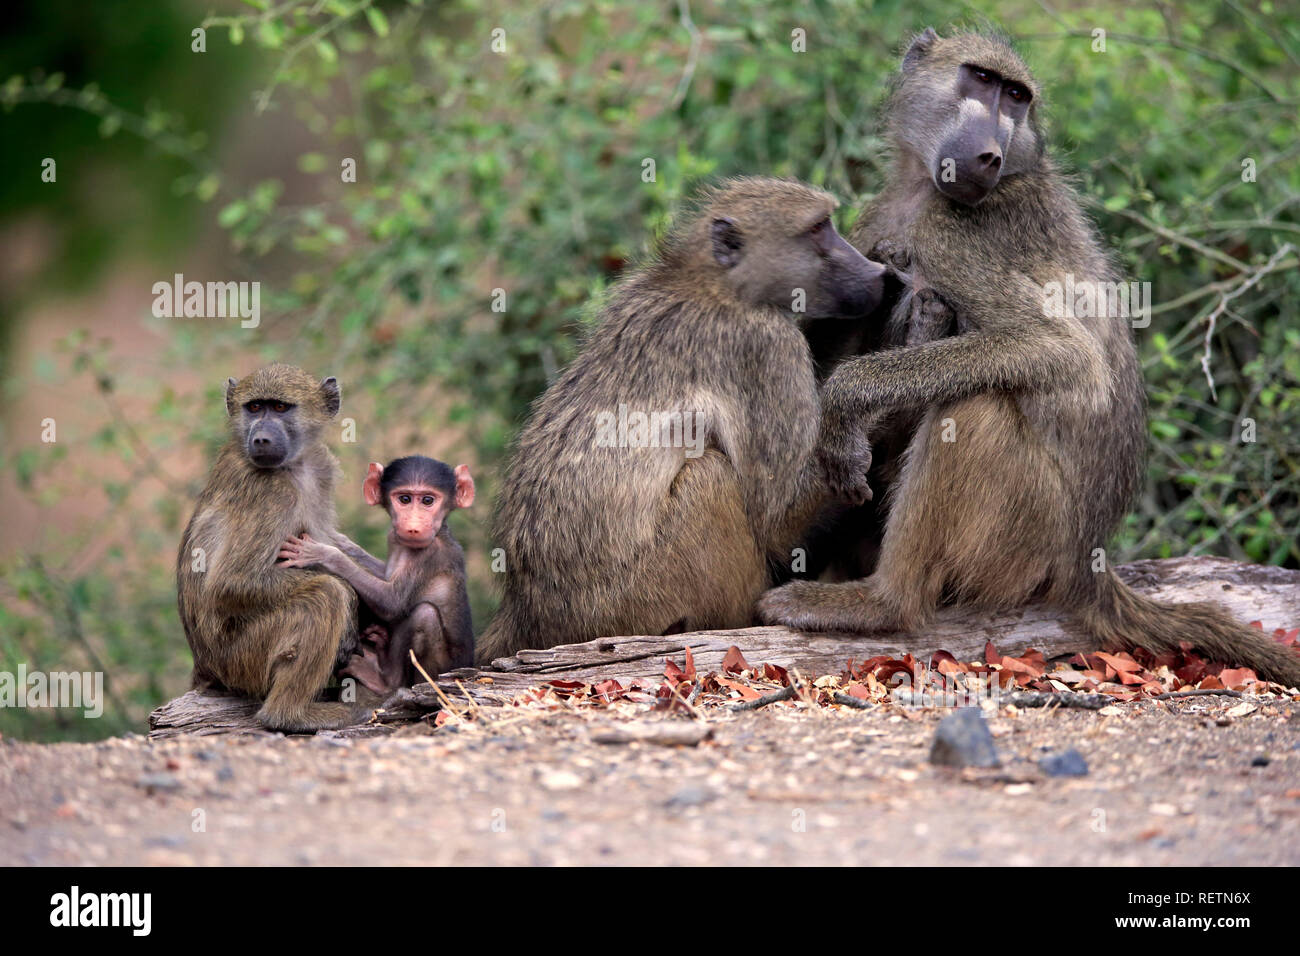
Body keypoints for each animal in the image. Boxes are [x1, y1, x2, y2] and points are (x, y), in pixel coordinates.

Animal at [176, 364, 376, 732]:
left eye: (280, 407)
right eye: (254, 408)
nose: (261, 439)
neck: (294, 464)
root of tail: (205, 669)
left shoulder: (321, 471)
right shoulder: (272, 493)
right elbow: (232, 583)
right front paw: (351, 599)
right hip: (242, 659)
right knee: (324, 595)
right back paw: (290, 715)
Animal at [278, 455, 475, 693]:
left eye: (428, 501)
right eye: (405, 499)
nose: (414, 525)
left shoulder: (431, 554)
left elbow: (391, 603)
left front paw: (322, 553)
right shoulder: (393, 537)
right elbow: (383, 575)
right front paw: (343, 544)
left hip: (441, 671)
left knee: (424, 614)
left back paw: (386, 681)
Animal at [477, 177, 887, 662]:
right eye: (819, 228)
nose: (875, 273)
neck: (716, 284)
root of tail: (527, 613)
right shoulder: (763, 345)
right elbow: (777, 521)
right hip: (635, 601)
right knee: (710, 476)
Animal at [759, 28, 1300, 687]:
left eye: (1017, 98)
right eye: (982, 80)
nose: (989, 156)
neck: (921, 189)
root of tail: (1087, 563)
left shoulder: (955, 233)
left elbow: (1057, 349)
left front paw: (843, 401)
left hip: (1029, 541)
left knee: (976, 406)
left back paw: (880, 603)